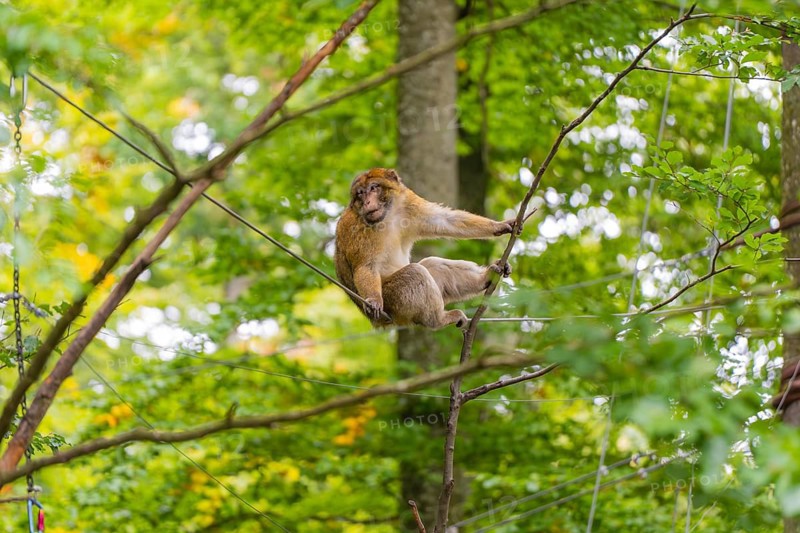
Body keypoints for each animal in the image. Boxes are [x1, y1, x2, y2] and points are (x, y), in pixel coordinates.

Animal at [334, 168, 515, 329]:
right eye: (360, 193)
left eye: (374, 188)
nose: (367, 202)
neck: (388, 215)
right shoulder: (357, 229)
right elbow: (366, 266)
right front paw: (374, 300)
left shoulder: (408, 203)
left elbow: (444, 220)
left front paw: (500, 226)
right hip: (393, 300)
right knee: (415, 273)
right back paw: (438, 321)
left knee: (434, 265)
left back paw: (485, 278)